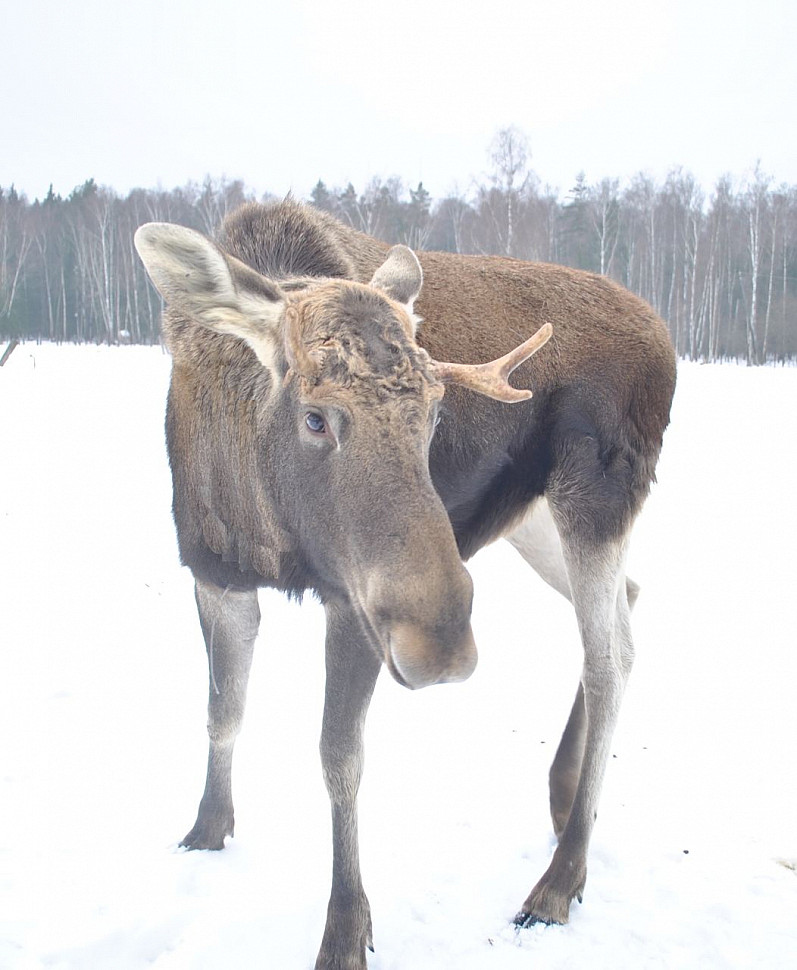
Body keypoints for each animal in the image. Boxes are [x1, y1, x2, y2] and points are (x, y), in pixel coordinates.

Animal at [134, 199, 676, 968]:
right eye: (314, 416)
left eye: (435, 414)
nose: (443, 648)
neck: (257, 516)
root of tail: (667, 340)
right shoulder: (215, 574)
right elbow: (222, 710)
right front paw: (206, 831)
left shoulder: (351, 599)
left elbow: (338, 757)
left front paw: (345, 930)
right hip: (534, 518)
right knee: (630, 599)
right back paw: (562, 797)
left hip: (595, 492)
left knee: (611, 657)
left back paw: (559, 879)